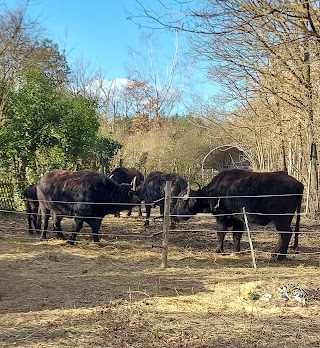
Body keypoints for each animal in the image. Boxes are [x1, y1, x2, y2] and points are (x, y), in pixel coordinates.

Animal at [171, 170, 304, 260]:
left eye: (180, 201)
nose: (172, 214)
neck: (215, 192)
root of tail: (298, 184)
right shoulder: (239, 220)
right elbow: (236, 236)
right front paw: (236, 251)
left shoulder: (222, 218)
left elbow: (221, 233)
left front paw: (218, 250)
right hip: (287, 217)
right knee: (283, 235)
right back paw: (274, 253)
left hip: (280, 218)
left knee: (286, 233)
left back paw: (280, 256)